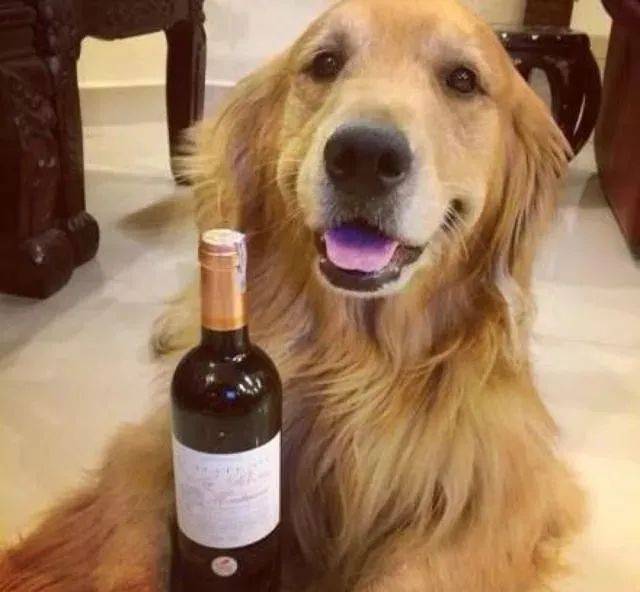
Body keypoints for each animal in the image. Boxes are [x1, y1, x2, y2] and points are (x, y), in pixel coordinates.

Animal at [0, 0, 585, 590]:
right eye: (325, 63)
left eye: (462, 80)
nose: (365, 154)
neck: (357, 361)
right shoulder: (147, 447)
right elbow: (125, 549)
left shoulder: (502, 493)